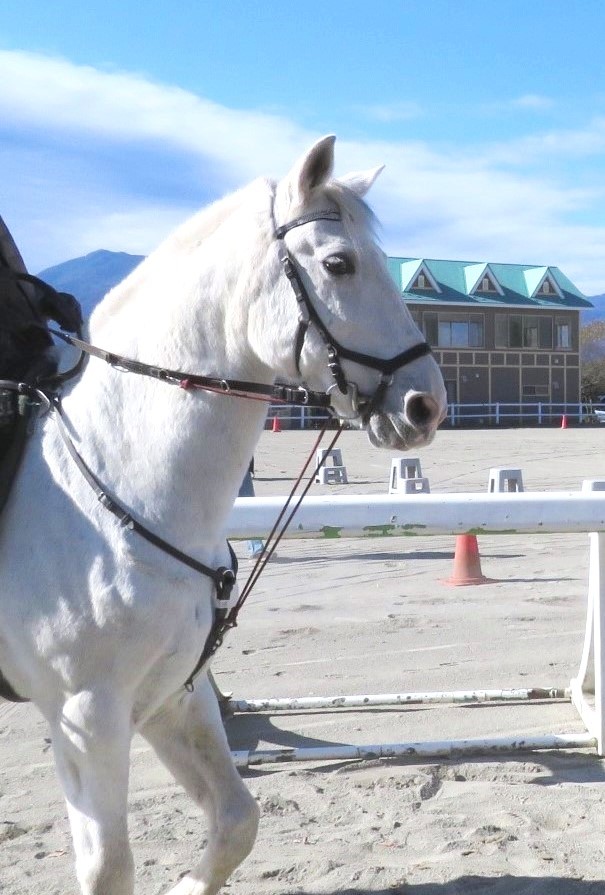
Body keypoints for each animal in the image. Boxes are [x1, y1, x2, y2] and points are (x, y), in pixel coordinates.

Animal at [0, 135, 444, 895]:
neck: (121, 489)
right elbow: (109, 866)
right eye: (338, 263)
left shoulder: (173, 691)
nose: (425, 406)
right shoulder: (87, 716)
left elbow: (238, 819)